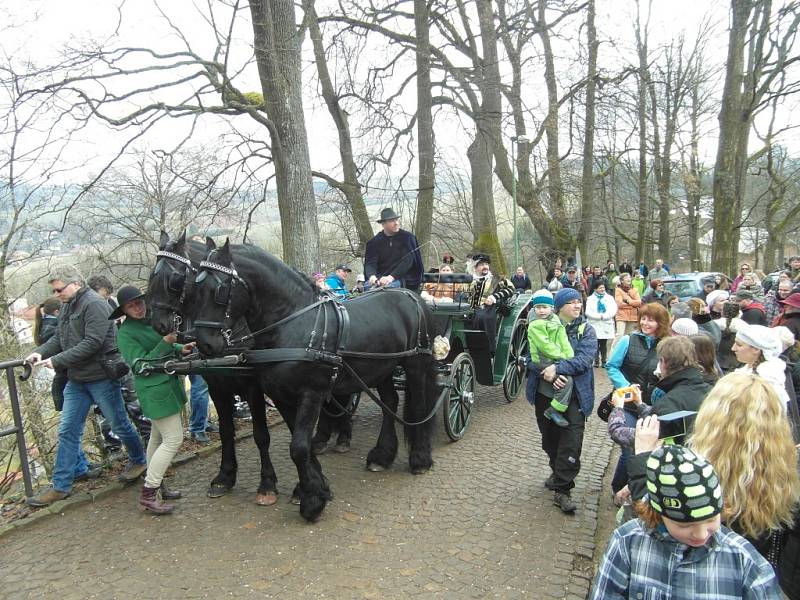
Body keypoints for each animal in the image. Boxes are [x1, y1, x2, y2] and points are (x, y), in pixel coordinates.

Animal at [145, 232, 280, 504]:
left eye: (174, 279)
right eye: (152, 274)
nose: (158, 324)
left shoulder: (253, 387)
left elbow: (261, 434)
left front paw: (267, 483)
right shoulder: (217, 388)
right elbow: (227, 431)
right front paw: (225, 477)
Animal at [190, 239, 434, 520]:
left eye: (219, 289)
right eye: (195, 288)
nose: (205, 344)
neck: (296, 325)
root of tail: (411, 296)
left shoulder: (311, 393)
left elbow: (298, 447)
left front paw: (312, 502)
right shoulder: (282, 397)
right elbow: (302, 445)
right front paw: (315, 488)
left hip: (415, 365)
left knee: (418, 407)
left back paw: (420, 459)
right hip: (382, 368)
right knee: (390, 403)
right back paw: (381, 456)